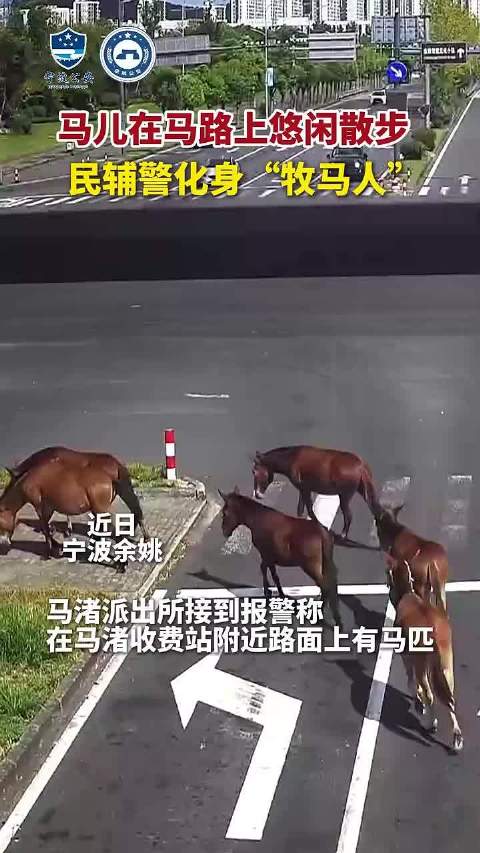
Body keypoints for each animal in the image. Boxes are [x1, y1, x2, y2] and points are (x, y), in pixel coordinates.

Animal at [0, 456, 149, 566]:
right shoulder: (49, 507)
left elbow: (45, 528)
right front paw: (57, 547)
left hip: (101, 510)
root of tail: (111, 476)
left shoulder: (39, 506)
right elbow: (47, 527)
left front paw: (48, 553)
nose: (4, 543)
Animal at [252, 446, 380, 539]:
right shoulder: (303, 489)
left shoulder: (305, 489)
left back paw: (343, 535)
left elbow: (308, 509)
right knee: (376, 510)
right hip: (362, 491)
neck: (292, 458)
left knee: (349, 515)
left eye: (254, 471)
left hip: (344, 496)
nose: (257, 495)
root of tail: (361, 466)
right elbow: (301, 509)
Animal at [386, 556, 463, 753]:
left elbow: (410, 681)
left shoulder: (407, 655)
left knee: (431, 694)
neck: (408, 592)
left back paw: (430, 722)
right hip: (445, 663)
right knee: (449, 698)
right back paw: (456, 736)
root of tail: (433, 631)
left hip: (422, 662)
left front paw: (417, 699)